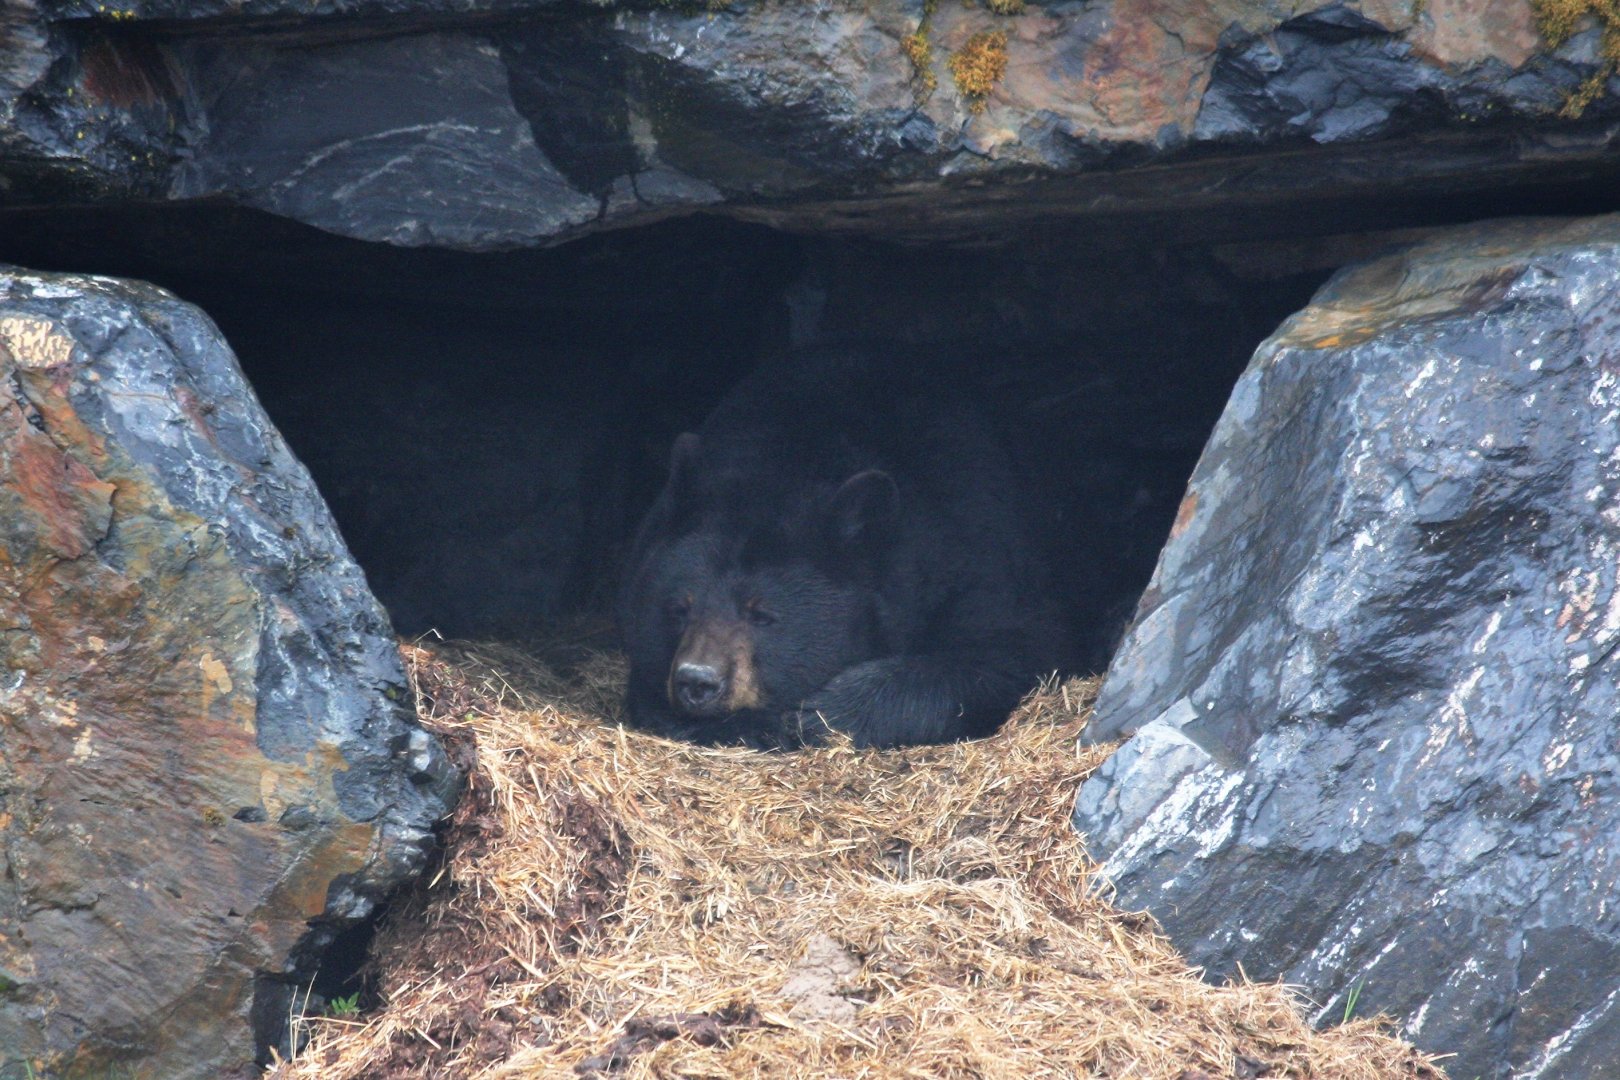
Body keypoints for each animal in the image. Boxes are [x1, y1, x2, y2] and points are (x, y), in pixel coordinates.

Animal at [616, 345, 1070, 749]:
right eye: (679, 608)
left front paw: (823, 712)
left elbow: (1006, 652)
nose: (697, 680)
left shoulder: (977, 542)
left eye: (763, 615)